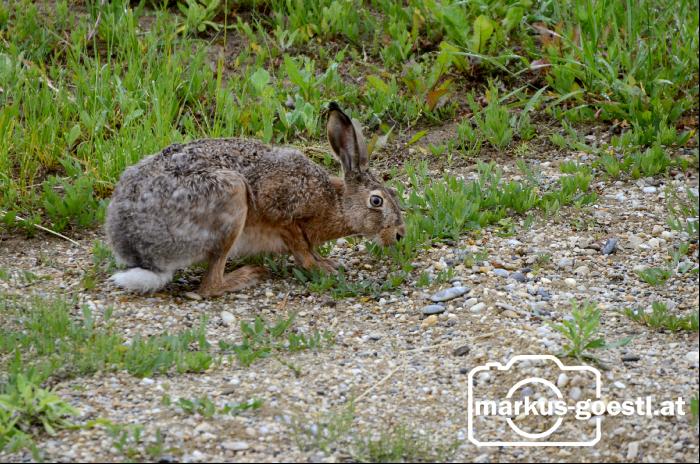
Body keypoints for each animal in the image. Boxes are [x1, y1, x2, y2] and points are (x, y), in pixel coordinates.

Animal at [105, 102, 405, 297]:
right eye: (376, 201)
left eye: (393, 194)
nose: (400, 235)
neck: (336, 201)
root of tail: (138, 250)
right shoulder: (282, 211)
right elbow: (300, 246)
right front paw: (321, 268)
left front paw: (327, 262)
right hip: (232, 198)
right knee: (209, 287)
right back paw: (249, 275)